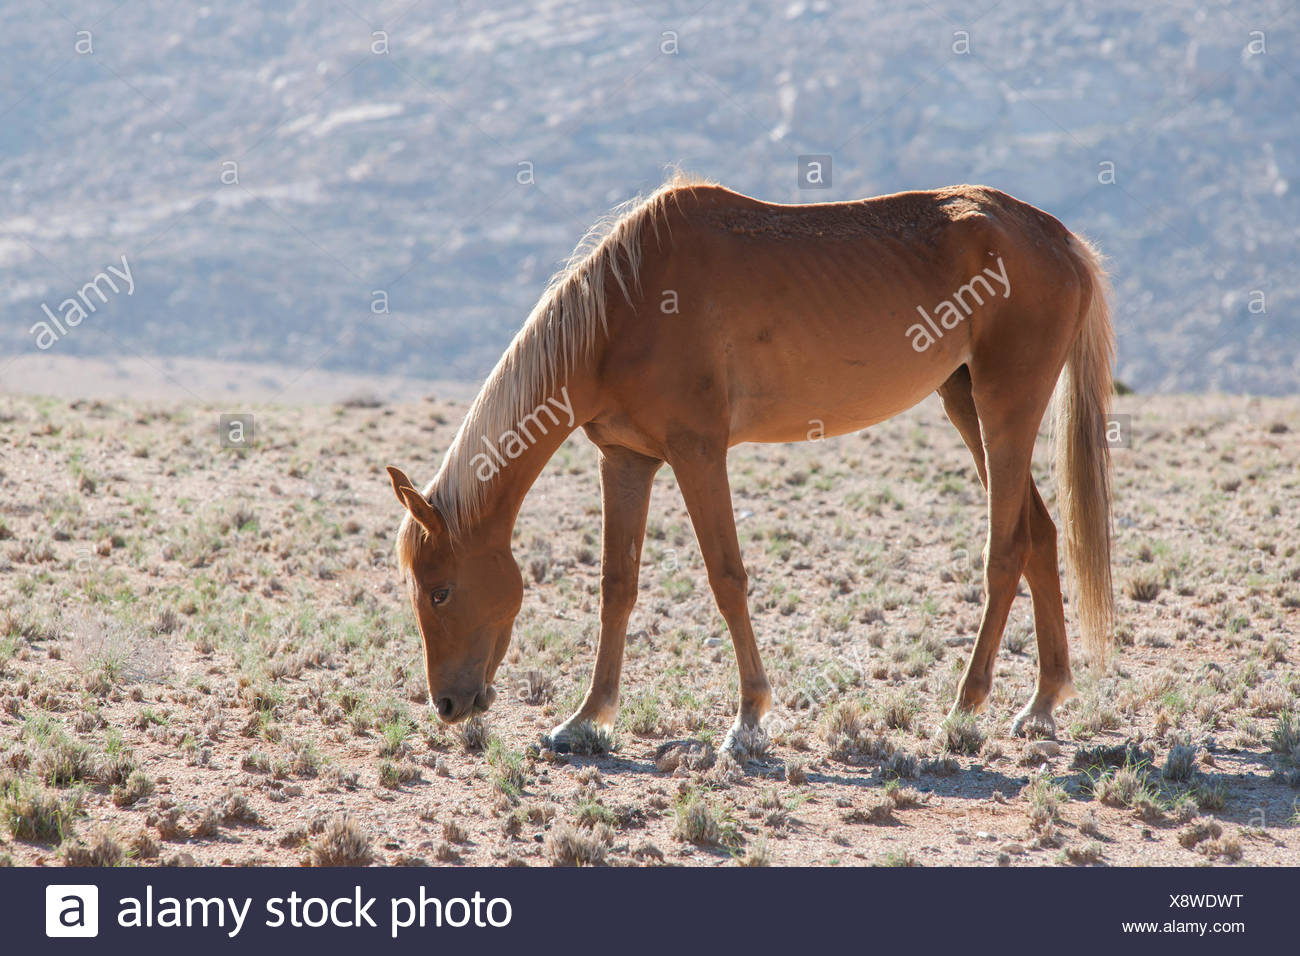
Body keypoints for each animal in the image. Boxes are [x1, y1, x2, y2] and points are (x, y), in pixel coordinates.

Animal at [386, 171, 1115, 757]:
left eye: (440, 590)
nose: (448, 704)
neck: (621, 309)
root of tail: (1062, 240)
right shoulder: (626, 460)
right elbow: (617, 586)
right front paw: (587, 719)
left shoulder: (698, 452)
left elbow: (726, 577)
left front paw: (748, 720)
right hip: (964, 401)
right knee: (1040, 534)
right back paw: (1042, 704)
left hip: (1004, 407)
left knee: (1007, 548)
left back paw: (965, 709)